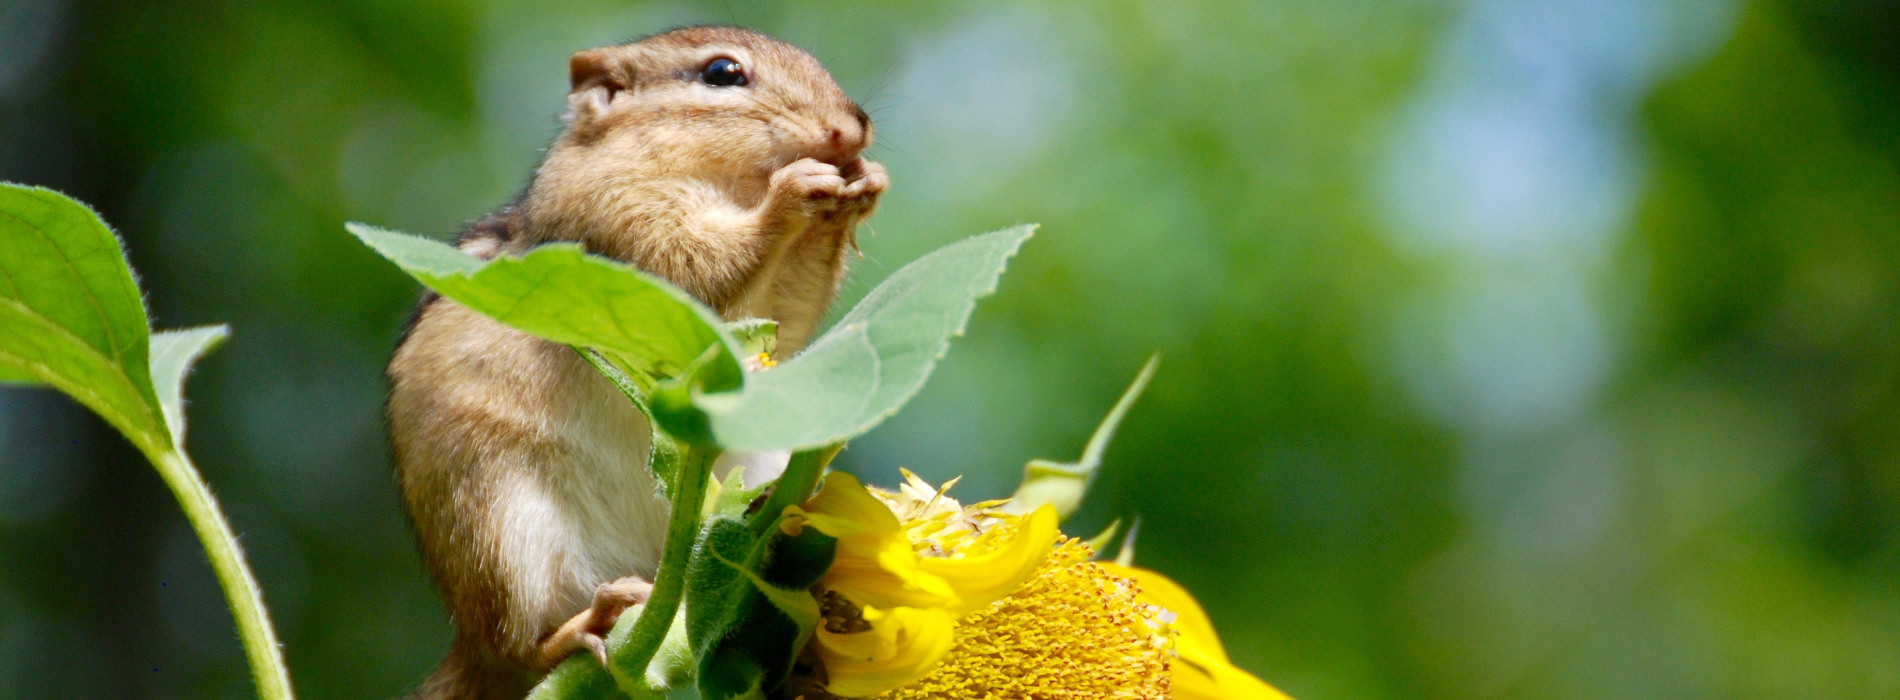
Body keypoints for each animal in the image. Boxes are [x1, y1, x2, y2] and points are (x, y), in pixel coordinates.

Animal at [384, 26, 886, 699]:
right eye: (722, 73)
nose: (853, 128)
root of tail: (467, 647)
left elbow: (787, 315)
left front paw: (864, 181)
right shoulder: (620, 215)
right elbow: (697, 264)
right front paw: (794, 192)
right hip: (499, 530)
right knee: (520, 645)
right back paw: (587, 626)